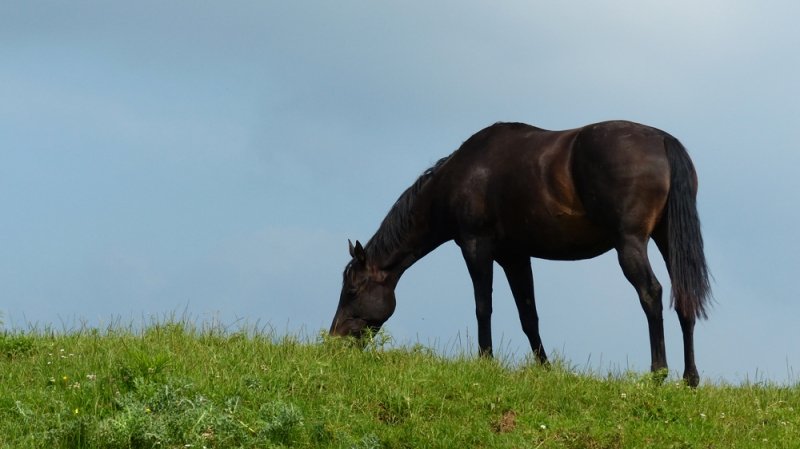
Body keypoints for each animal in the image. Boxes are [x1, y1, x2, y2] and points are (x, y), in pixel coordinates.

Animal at [329, 120, 711, 386]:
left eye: (352, 290)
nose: (333, 341)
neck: (460, 175)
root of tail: (663, 141)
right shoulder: (515, 257)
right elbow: (529, 315)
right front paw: (545, 369)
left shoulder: (476, 247)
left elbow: (483, 307)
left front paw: (485, 361)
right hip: (668, 241)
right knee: (683, 298)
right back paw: (690, 378)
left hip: (629, 244)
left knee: (651, 294)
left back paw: (658, 374)